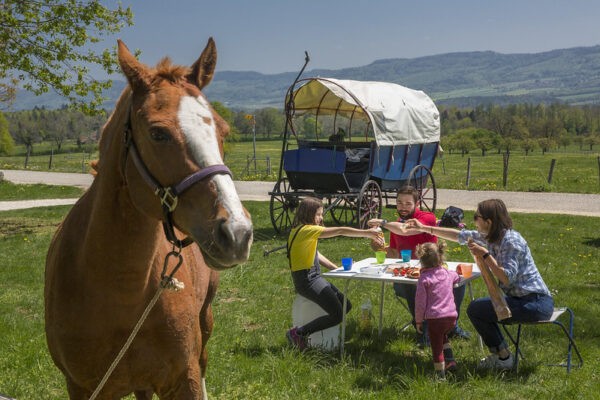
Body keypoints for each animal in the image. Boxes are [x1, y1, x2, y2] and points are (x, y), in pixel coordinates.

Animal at [45, 38, 253, 400]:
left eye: (224, 130)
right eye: (158, 133)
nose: (237, 232)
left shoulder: (183, 380)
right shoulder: (83, 387)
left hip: (206, 325)